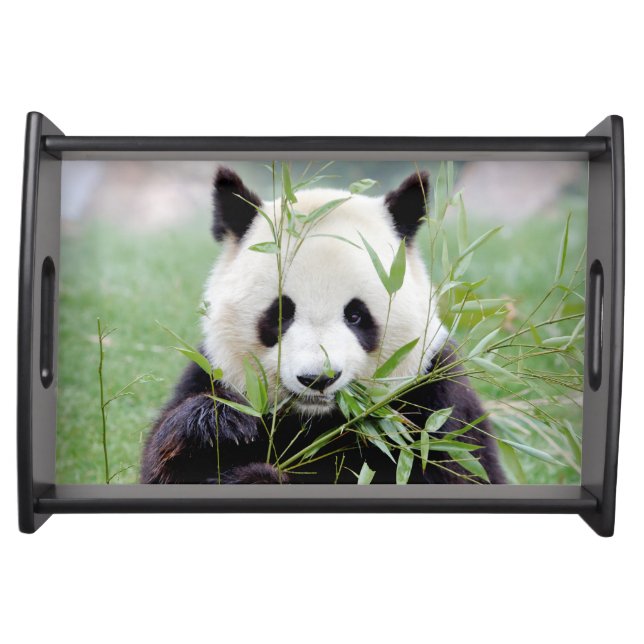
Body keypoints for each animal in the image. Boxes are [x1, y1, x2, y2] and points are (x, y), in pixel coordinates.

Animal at [141, 167, 505, 484]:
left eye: (356, 315)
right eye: (280, 314)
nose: (318, 378)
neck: (316, 421)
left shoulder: (434, 401)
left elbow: (451, 468)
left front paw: (258, 478)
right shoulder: (214, 373)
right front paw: (221, 424)